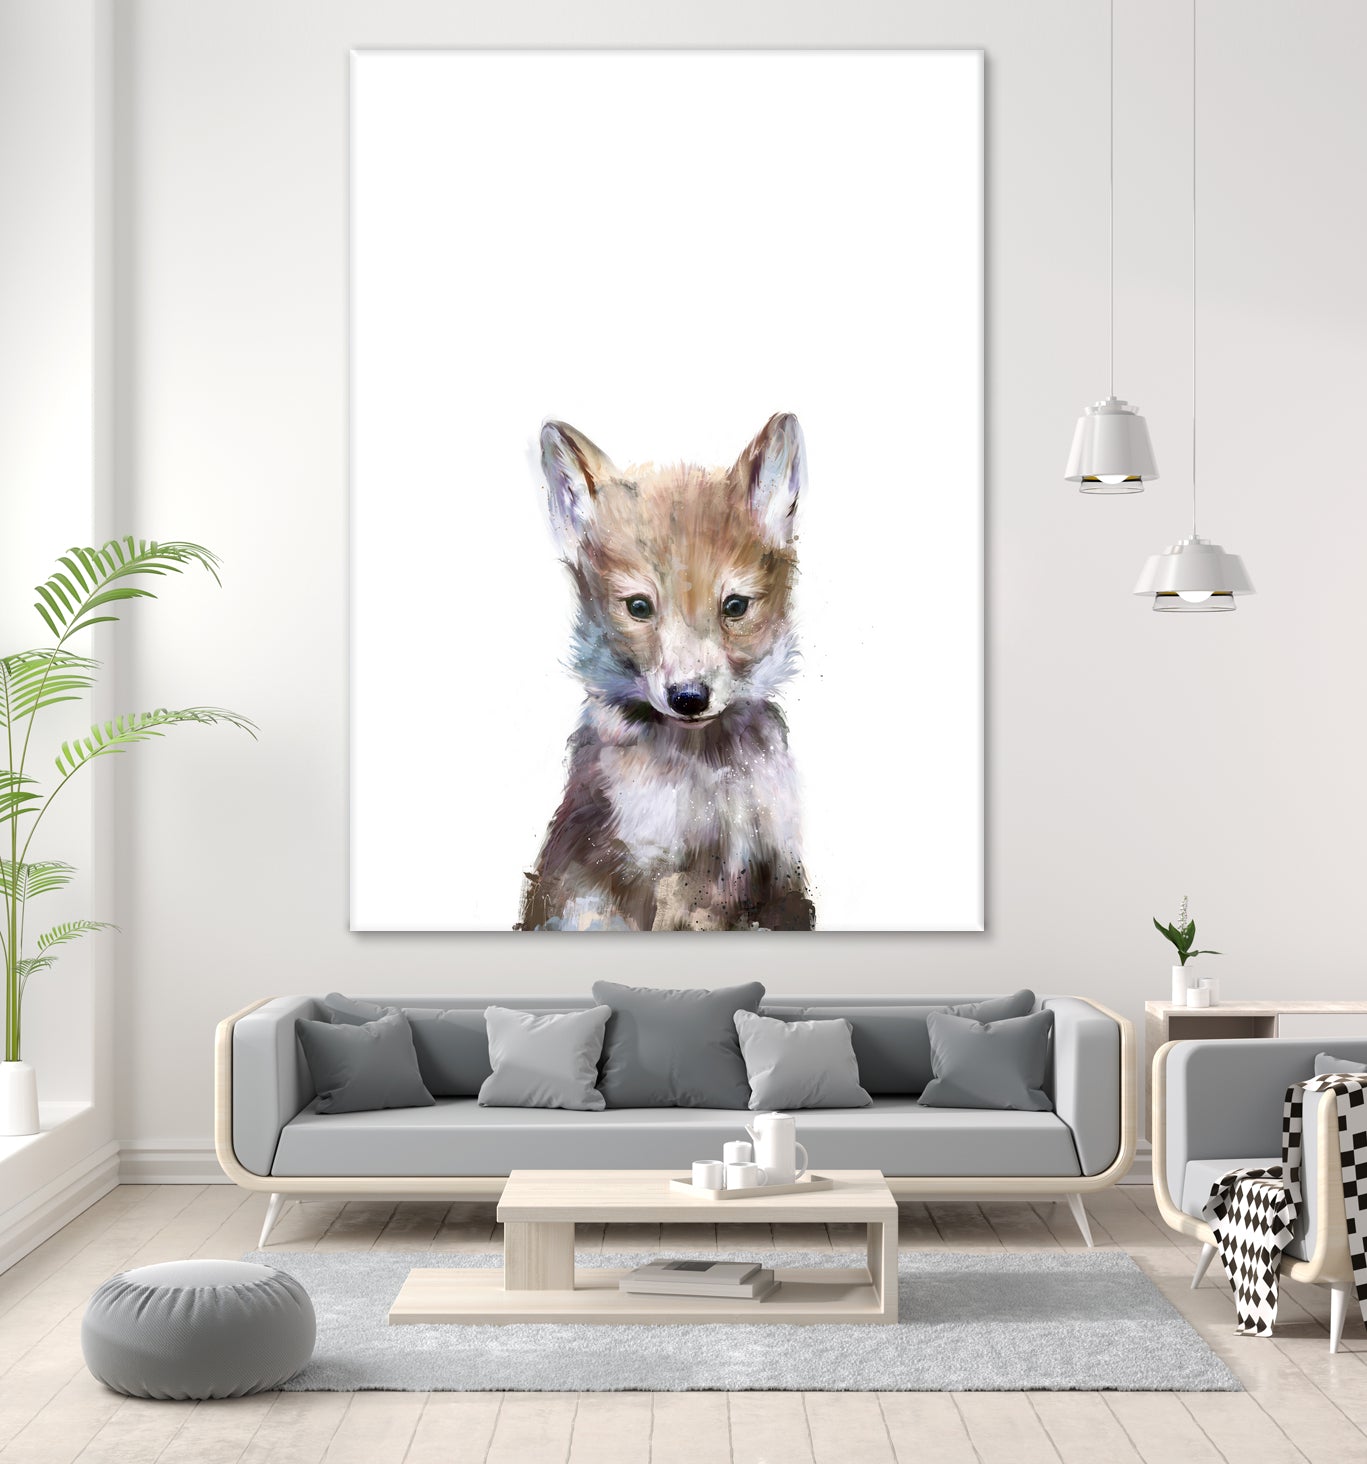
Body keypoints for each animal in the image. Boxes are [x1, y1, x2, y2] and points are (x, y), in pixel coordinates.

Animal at [516, 413, 816, 932]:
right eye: (639, 607)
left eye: (735, 606)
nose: (689, 698)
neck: (709, 776)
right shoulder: (656, 876)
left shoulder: (777, 872)